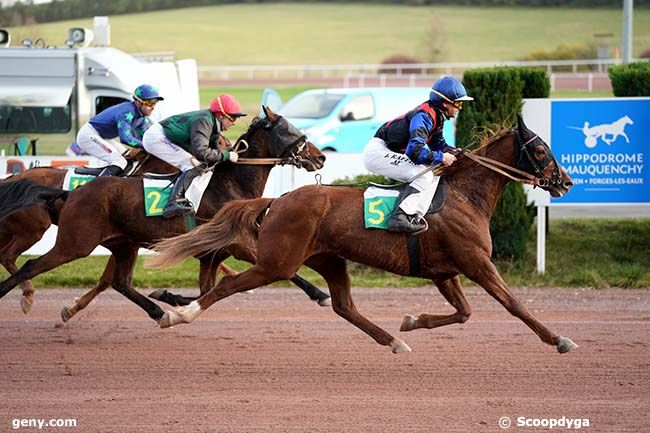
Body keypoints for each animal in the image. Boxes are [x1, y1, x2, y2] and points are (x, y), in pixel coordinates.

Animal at [0, 108, 326, 322]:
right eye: (289, 129)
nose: (320, 156)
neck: (232, 183)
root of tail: (72, 194)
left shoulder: (212, 252)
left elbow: (208, 288)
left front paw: (168, 298)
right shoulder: (236, 243)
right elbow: (279, 269)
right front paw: (320, 294)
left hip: (122, 243)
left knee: (119, 282)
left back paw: (157, 311)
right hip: (73, 241)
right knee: (29, 265)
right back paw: (20, 294)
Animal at [148, 115, 576, 354]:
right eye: (541, 151)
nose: (565, 181)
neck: (463, 196)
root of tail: (277, 199)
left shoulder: (445, 271)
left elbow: (465, 312)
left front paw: (411, 321)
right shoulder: (476, 263)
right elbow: (514, 304)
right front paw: (558, 339)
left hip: (328, 259)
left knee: (343, 306)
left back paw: (394, 341)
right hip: (278, 262)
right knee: (226, 286)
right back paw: (178, 314)